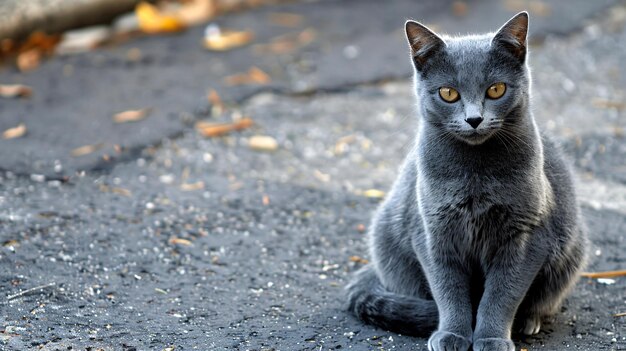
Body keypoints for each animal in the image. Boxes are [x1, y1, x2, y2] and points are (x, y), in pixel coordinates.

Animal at [346, 12, 584, 350]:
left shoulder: (527, 235)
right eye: (448, 93)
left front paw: (491, 338)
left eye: (496, 89)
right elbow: (448, 291)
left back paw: (529, 320)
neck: (475, 175)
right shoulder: (433, 233)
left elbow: (502, 294)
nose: (474, 119)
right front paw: (453, 334)